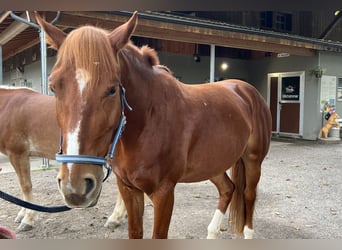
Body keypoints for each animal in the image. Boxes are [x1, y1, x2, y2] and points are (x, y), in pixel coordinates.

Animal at [36, 11, 272, 238]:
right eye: (54, 87)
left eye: (112, 89)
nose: (74, 186)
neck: (147, 123)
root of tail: (245, 90)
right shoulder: (128, 189)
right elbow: (135, 232)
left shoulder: (164, 193)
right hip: (213, 163)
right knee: (227, 189)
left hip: (253, 161)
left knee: (248, 196)